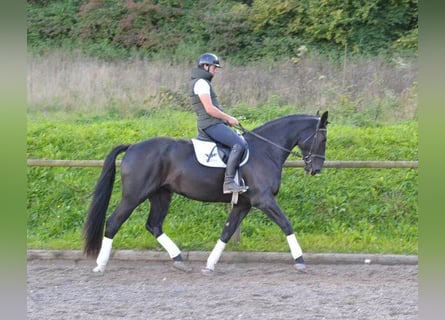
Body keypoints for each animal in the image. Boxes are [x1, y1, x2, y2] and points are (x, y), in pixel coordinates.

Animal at [83, 111, 328, 274]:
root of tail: (133, 146)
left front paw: (210, 265)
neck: (265, 150)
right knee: (114, 222)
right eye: (323, 138)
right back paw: (100, 265)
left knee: (154, 225)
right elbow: (286, 224)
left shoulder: (243, 204)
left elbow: (227, 232)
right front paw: (300, 261)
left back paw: (179, 260)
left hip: (161, 195)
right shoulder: (263, 200)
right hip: (134, 195)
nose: (316, 169)